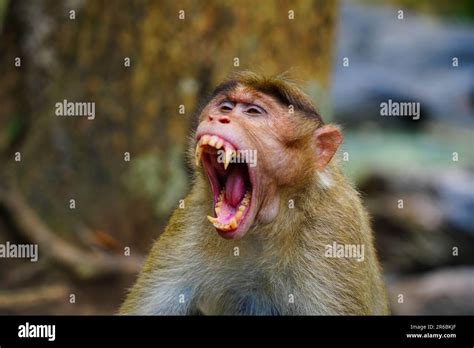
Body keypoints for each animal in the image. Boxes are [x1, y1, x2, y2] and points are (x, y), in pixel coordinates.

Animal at [120, 70, 390, 316]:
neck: (267, 228)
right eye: (226, 107)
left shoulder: (333, 230)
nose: (218, 117)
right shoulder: (191, 221)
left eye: (253, 112)